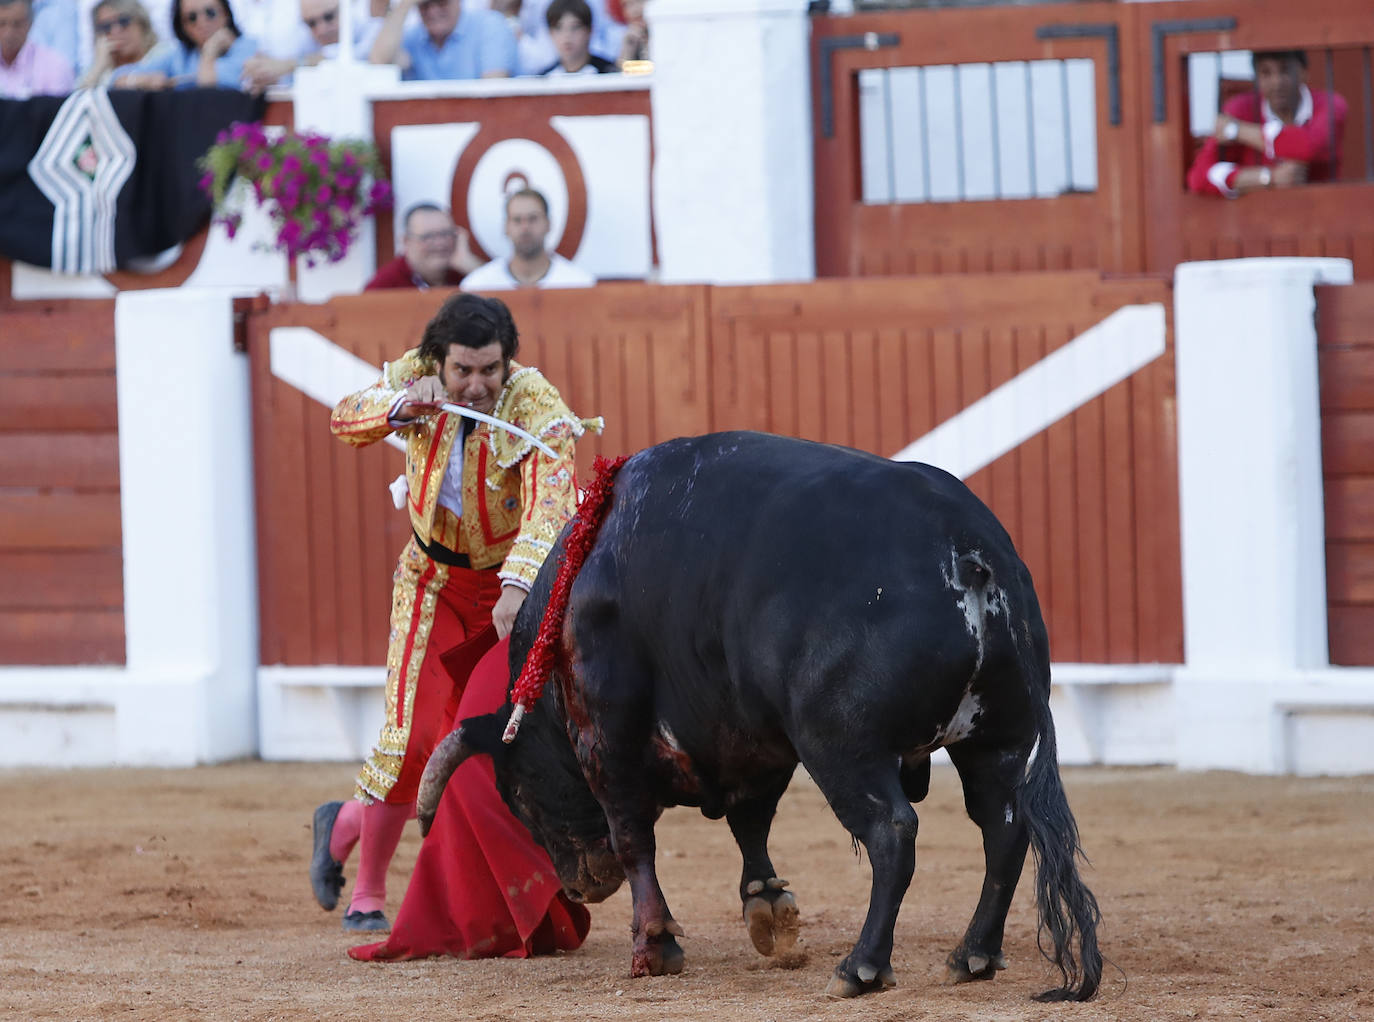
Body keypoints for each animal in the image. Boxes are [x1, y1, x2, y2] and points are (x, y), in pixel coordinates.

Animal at [417, 428, 1104, 1000]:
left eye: (517, 795)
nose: (581, 886)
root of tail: (968, 552)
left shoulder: (607, 738)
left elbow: (636, 836)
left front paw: (654, 946)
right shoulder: (753, 740)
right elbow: (751, 821)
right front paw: (767, 905)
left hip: (840, 746)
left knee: (893, 832)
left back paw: (861, 967)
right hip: (995, 740)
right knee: (1004, 826)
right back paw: (972, 956)